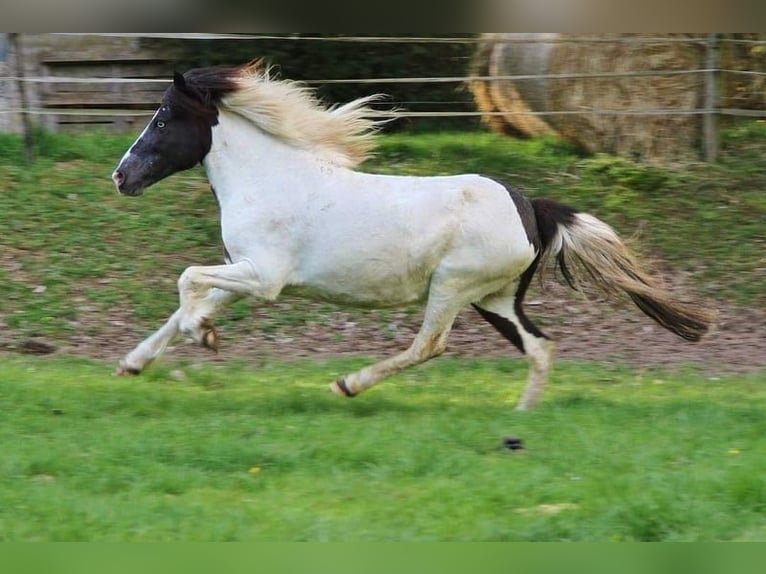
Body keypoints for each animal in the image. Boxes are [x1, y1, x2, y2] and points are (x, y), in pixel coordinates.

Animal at [111, 61, 715, 410]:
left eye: (162, 119)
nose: (121, 176)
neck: (273, 180)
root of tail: (531, 208)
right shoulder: (244, 272)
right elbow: (185, 302)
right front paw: (135, 363)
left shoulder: (265, 278)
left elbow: (187, 281)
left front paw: (204, 336)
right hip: (496, 299)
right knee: (540, 346)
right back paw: (520, 420)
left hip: (452, 286)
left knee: (430, 345)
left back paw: (348, 384)